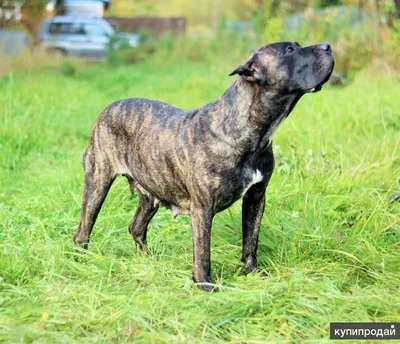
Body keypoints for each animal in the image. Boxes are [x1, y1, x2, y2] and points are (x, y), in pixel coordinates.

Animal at [72, 41, 334, 292]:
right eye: (289, 50)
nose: (328, 46)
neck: (252, 131)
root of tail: (108, 108)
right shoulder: (203, 209)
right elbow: (203, 252)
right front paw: (205, 285)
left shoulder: (256, 197)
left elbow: (251, 240)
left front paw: (253, 273)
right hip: (98, 182)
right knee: (83, 230)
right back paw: (81, 263)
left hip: (151, 190)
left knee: (136, 227)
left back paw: (148, 261)